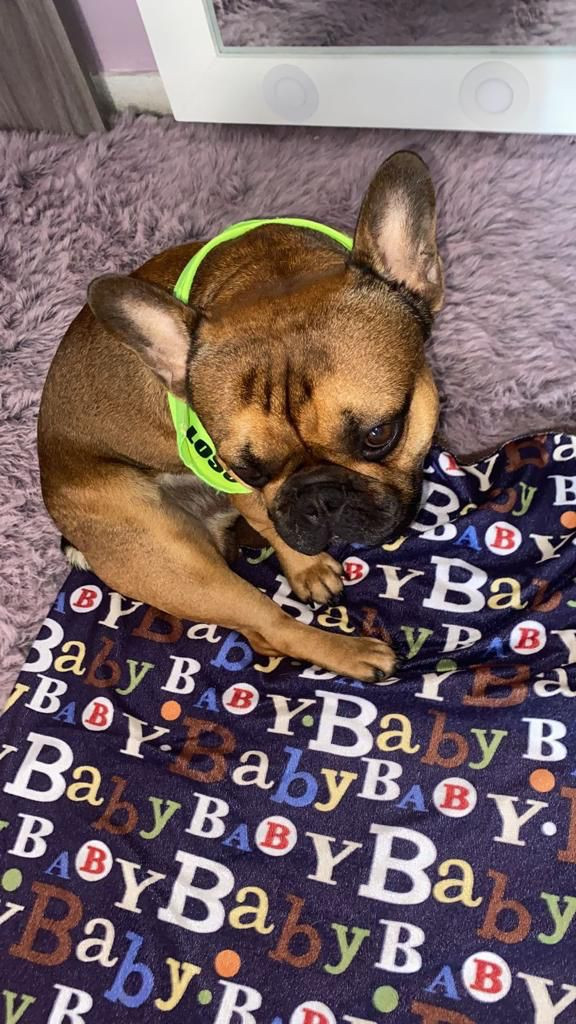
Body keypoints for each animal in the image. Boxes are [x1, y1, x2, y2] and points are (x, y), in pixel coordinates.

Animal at [38, 151, 443, 682]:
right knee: (267, 626)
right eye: (250, 469)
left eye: (380, 434)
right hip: (172, 560)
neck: (270, 271)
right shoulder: (234, 482)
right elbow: (272, 523)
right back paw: (353, 653)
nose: (319, 498)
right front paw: (308, 567)